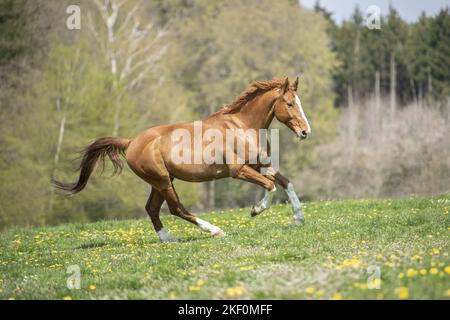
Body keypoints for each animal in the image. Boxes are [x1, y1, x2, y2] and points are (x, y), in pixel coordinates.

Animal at [52, 77, 312, 242]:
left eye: (299, 103)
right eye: (290, 103)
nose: (305, 132)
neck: (242, 126)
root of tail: (131, 141)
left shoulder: (262, 165)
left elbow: (286, 183)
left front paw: (298, 218)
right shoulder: (239, 170)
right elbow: (269, 187)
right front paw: (255, 210)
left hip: (160, 182)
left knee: (152, 208)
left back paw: (169, 239)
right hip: (163, 181)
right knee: (176, 208)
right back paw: (214, 230)